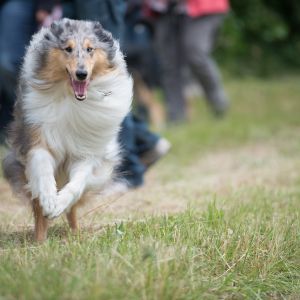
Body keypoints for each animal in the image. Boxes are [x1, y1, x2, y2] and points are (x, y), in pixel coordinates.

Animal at [1, 18, 132, 240]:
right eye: (67, 49)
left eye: (90, 49)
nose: (81, 74)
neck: (72, 99)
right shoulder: (37, 141)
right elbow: (43, 171)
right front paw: (49, 200)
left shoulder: (86, 152)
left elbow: (77, 184)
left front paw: (59, 203)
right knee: (38, 213)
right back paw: (40, 240)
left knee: (73, 210)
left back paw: (75, 235)